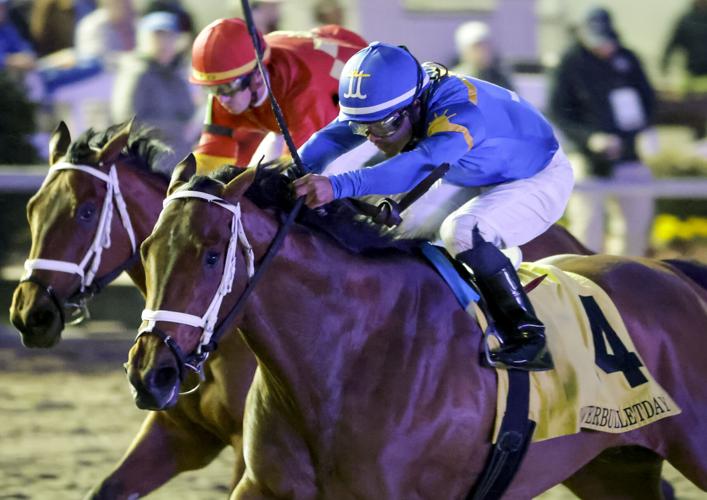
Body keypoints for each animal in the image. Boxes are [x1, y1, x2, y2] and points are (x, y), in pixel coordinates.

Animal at [127, 165, 707, 499]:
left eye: (212, 255)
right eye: (148, 249)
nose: (150, 374)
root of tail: (673, 272)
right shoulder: (263, 488)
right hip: (613, 466)